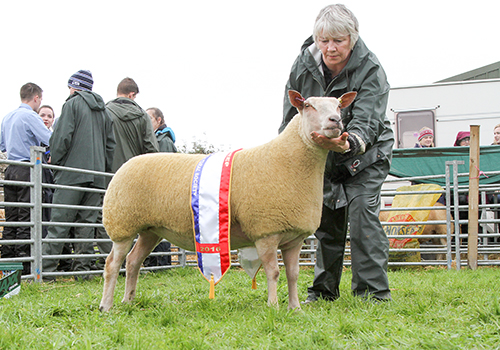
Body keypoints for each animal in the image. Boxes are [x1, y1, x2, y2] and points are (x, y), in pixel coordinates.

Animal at [98, 90, 356, 312]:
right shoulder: (266, 231)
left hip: (150, 229)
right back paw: (106, 306)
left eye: (338, 106)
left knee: (133, 261)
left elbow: (293, 275)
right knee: (112, 264)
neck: (289, 160)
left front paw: (296, 309)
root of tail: (126, 163)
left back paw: (128, 301)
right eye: (308, 106)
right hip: (122, 224)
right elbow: (273, 273)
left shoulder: (294, 237)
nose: (335, 120)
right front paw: (274, 307)